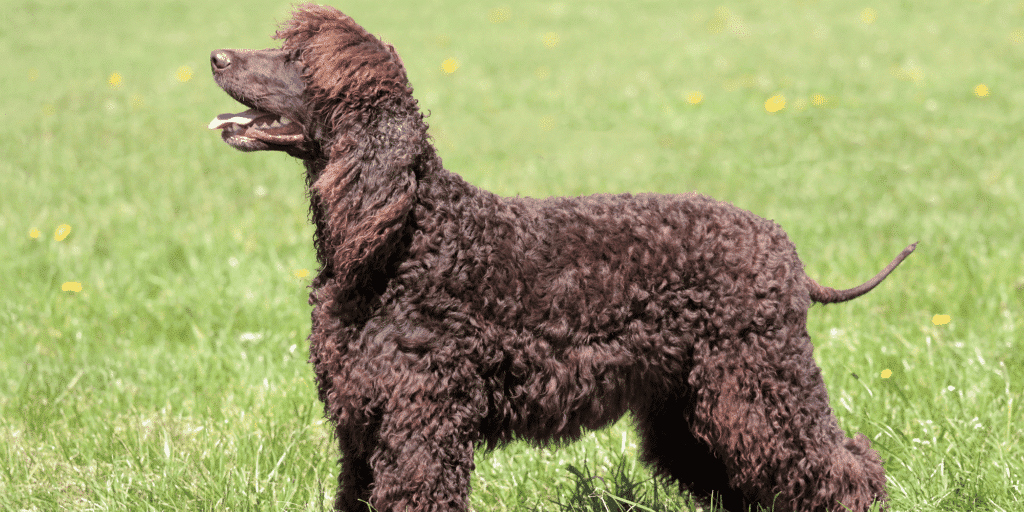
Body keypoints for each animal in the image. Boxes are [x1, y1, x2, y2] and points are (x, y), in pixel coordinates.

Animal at [207, 3, 913, 507]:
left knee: (843, 470)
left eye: (297, 58)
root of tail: (784, 248)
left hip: (760, 383)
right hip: (693, 408)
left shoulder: (420, 423)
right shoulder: (362, 427)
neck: (404, 238)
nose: (215, 54)